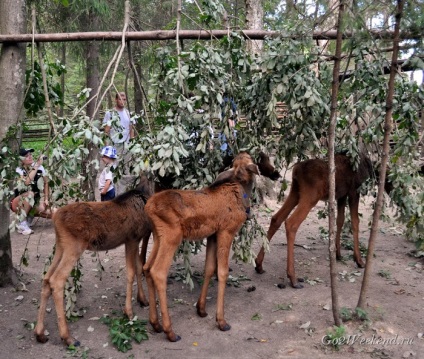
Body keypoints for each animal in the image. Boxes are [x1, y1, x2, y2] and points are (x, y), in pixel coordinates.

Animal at [34, 184, 152, 348]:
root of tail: (55, 218)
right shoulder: (132, 239)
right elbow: (131, 272)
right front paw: (128, 312)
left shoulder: (136, 240)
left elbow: (139, 267)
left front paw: (143, 300)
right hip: (73, 246)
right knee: (56, 280)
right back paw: (67, 337)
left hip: (60, 246)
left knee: (46, 278)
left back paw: (40, 333)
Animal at [143, 153, 262, 344]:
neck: (241, 191)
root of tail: (148, 208)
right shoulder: (226, 231)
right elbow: (222, 272)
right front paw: (221, 320)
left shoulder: (212, 234)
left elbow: (209, 268)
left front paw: (201, 308)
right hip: (171, 236)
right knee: (158, 271)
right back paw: (170, 331)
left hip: (157, 236)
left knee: (146, 267)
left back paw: (155, 323)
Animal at [255, 153, 380, 290]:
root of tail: (296, 170)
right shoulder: (354, 191)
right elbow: (355, 223)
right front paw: (359, 260)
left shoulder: (341, 195)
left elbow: (340, 221)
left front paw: (338, 253)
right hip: (311, 195)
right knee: (291, 223)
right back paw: (293, 277)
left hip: (296, 191)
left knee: (276, 218)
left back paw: (259, 264)